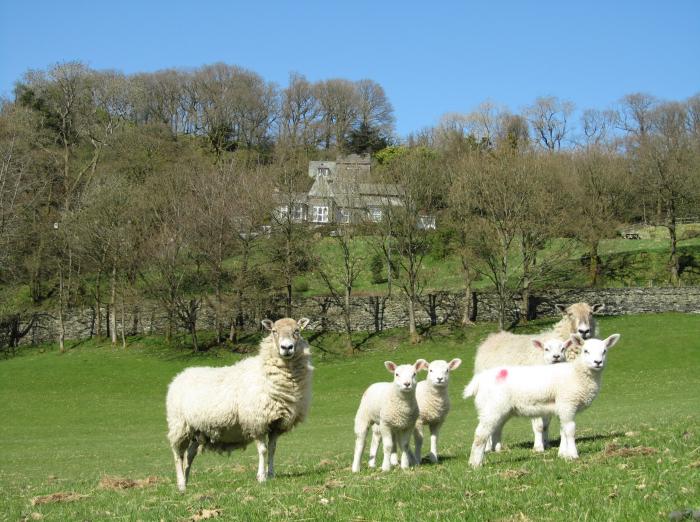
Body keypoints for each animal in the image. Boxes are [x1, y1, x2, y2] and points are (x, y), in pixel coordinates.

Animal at [166, 314, 312, 490]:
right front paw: (261, 477)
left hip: (198, 429)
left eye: (297, 331)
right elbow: (263, 450)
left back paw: (186, 482)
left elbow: (272, 449)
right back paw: (181, 484)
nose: (287, 347)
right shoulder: (257, 422)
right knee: (177, 454)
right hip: (179, 425)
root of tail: (180, 375)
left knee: (189, 455)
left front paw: (271, 474)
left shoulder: (276, 423)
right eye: (274, 331)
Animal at [464, 334, 624, 468]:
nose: (598, 362)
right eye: (586, 351)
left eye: (604, 351)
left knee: (493, 430)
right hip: (492, 407)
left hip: (500, 409)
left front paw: (562, 454)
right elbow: (570, 429)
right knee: (480, 434)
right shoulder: (567, 402)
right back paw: (475, 463)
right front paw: (573, 455)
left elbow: (563, 430)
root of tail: (479, 380)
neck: (576, 373)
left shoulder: (561, 406)